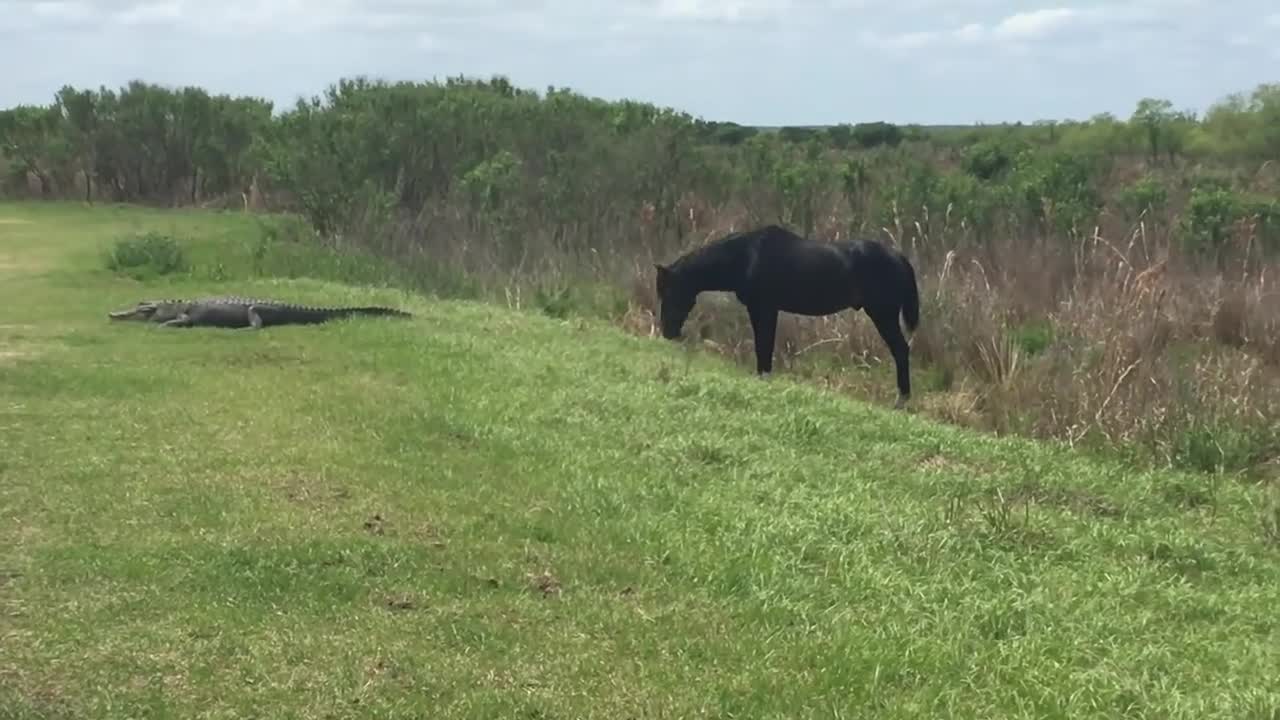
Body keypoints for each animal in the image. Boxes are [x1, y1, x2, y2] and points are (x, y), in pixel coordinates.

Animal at [660, 221, 921, 407]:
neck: (747, 256)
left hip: (883, 315)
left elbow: (763, 345)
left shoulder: (764, 308)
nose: (667, 331)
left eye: (670, 292)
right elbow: (763, 345)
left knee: (900, 350)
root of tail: (900, 258)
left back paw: (901, 400)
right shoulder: (762, 310)